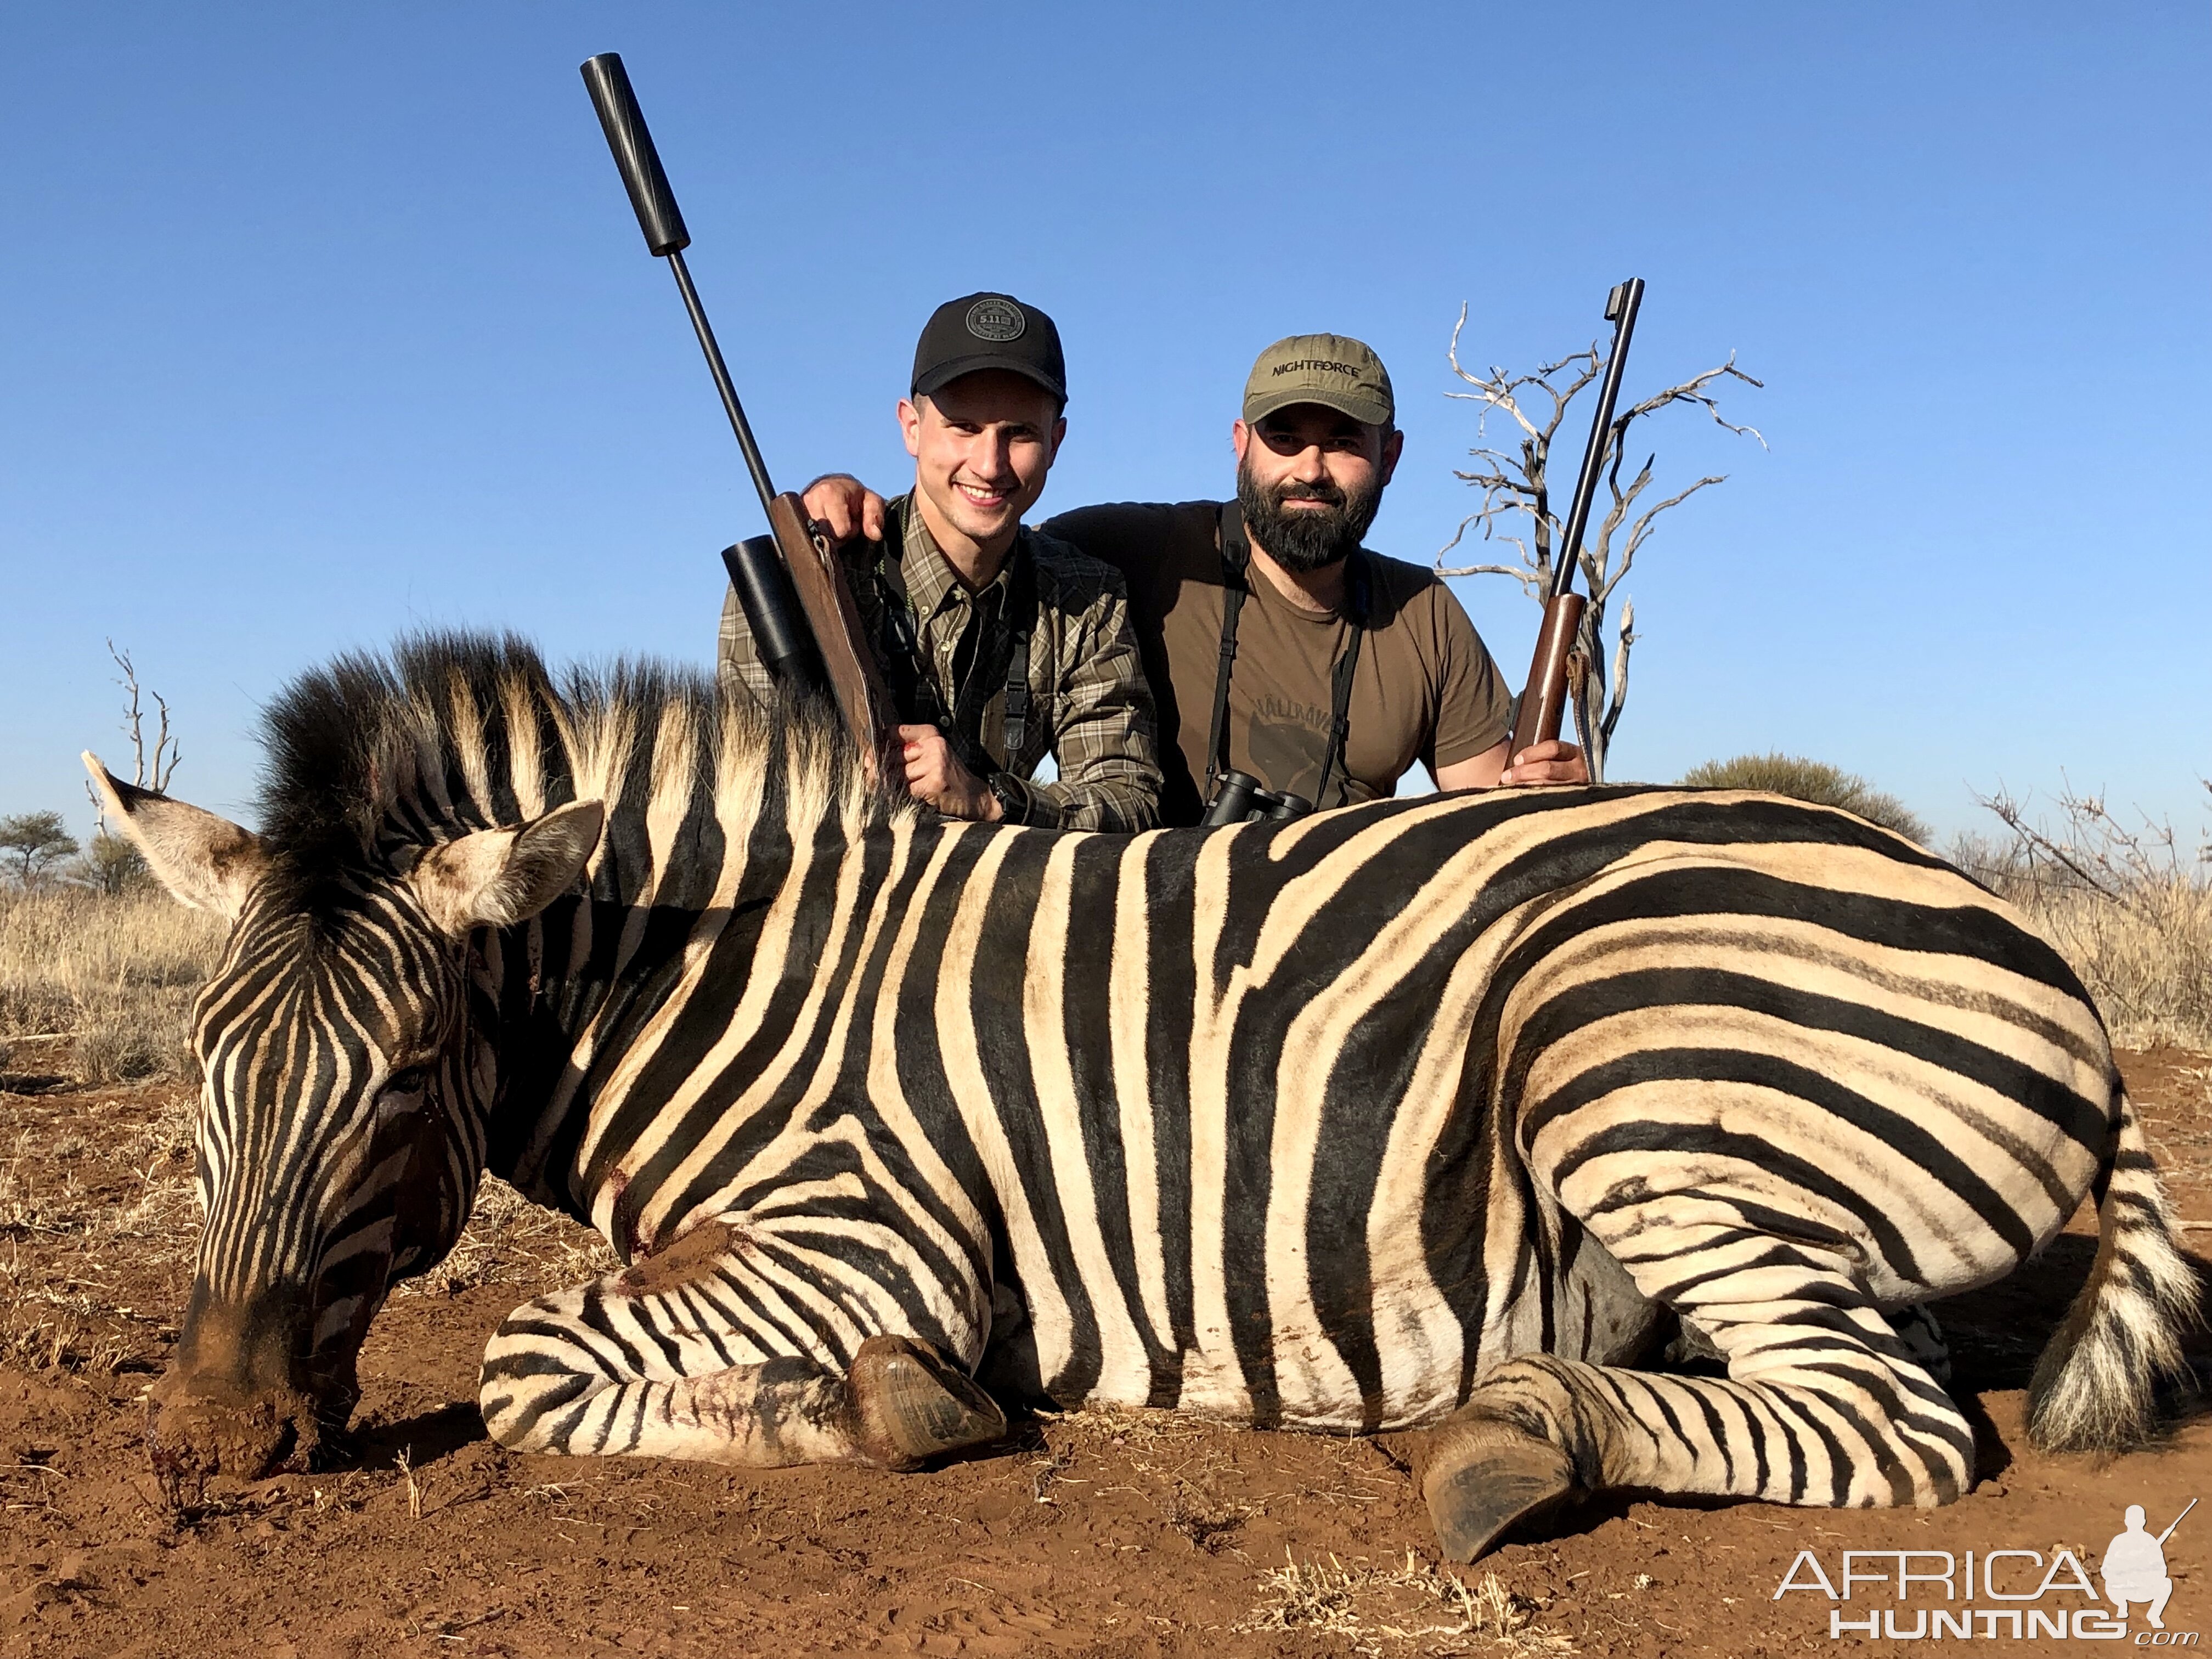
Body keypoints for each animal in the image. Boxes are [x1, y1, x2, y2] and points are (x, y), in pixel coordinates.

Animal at [91, 633, 2194, 1557]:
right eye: (197, 1072)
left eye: (404, 1079)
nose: (206, 1439)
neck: (714, 977)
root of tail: (2041, 959)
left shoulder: (871, 1241)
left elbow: (534, 1359)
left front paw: (890, 1408)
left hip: (1625, 1065)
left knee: (1895, 1426)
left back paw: (1504, 1435)